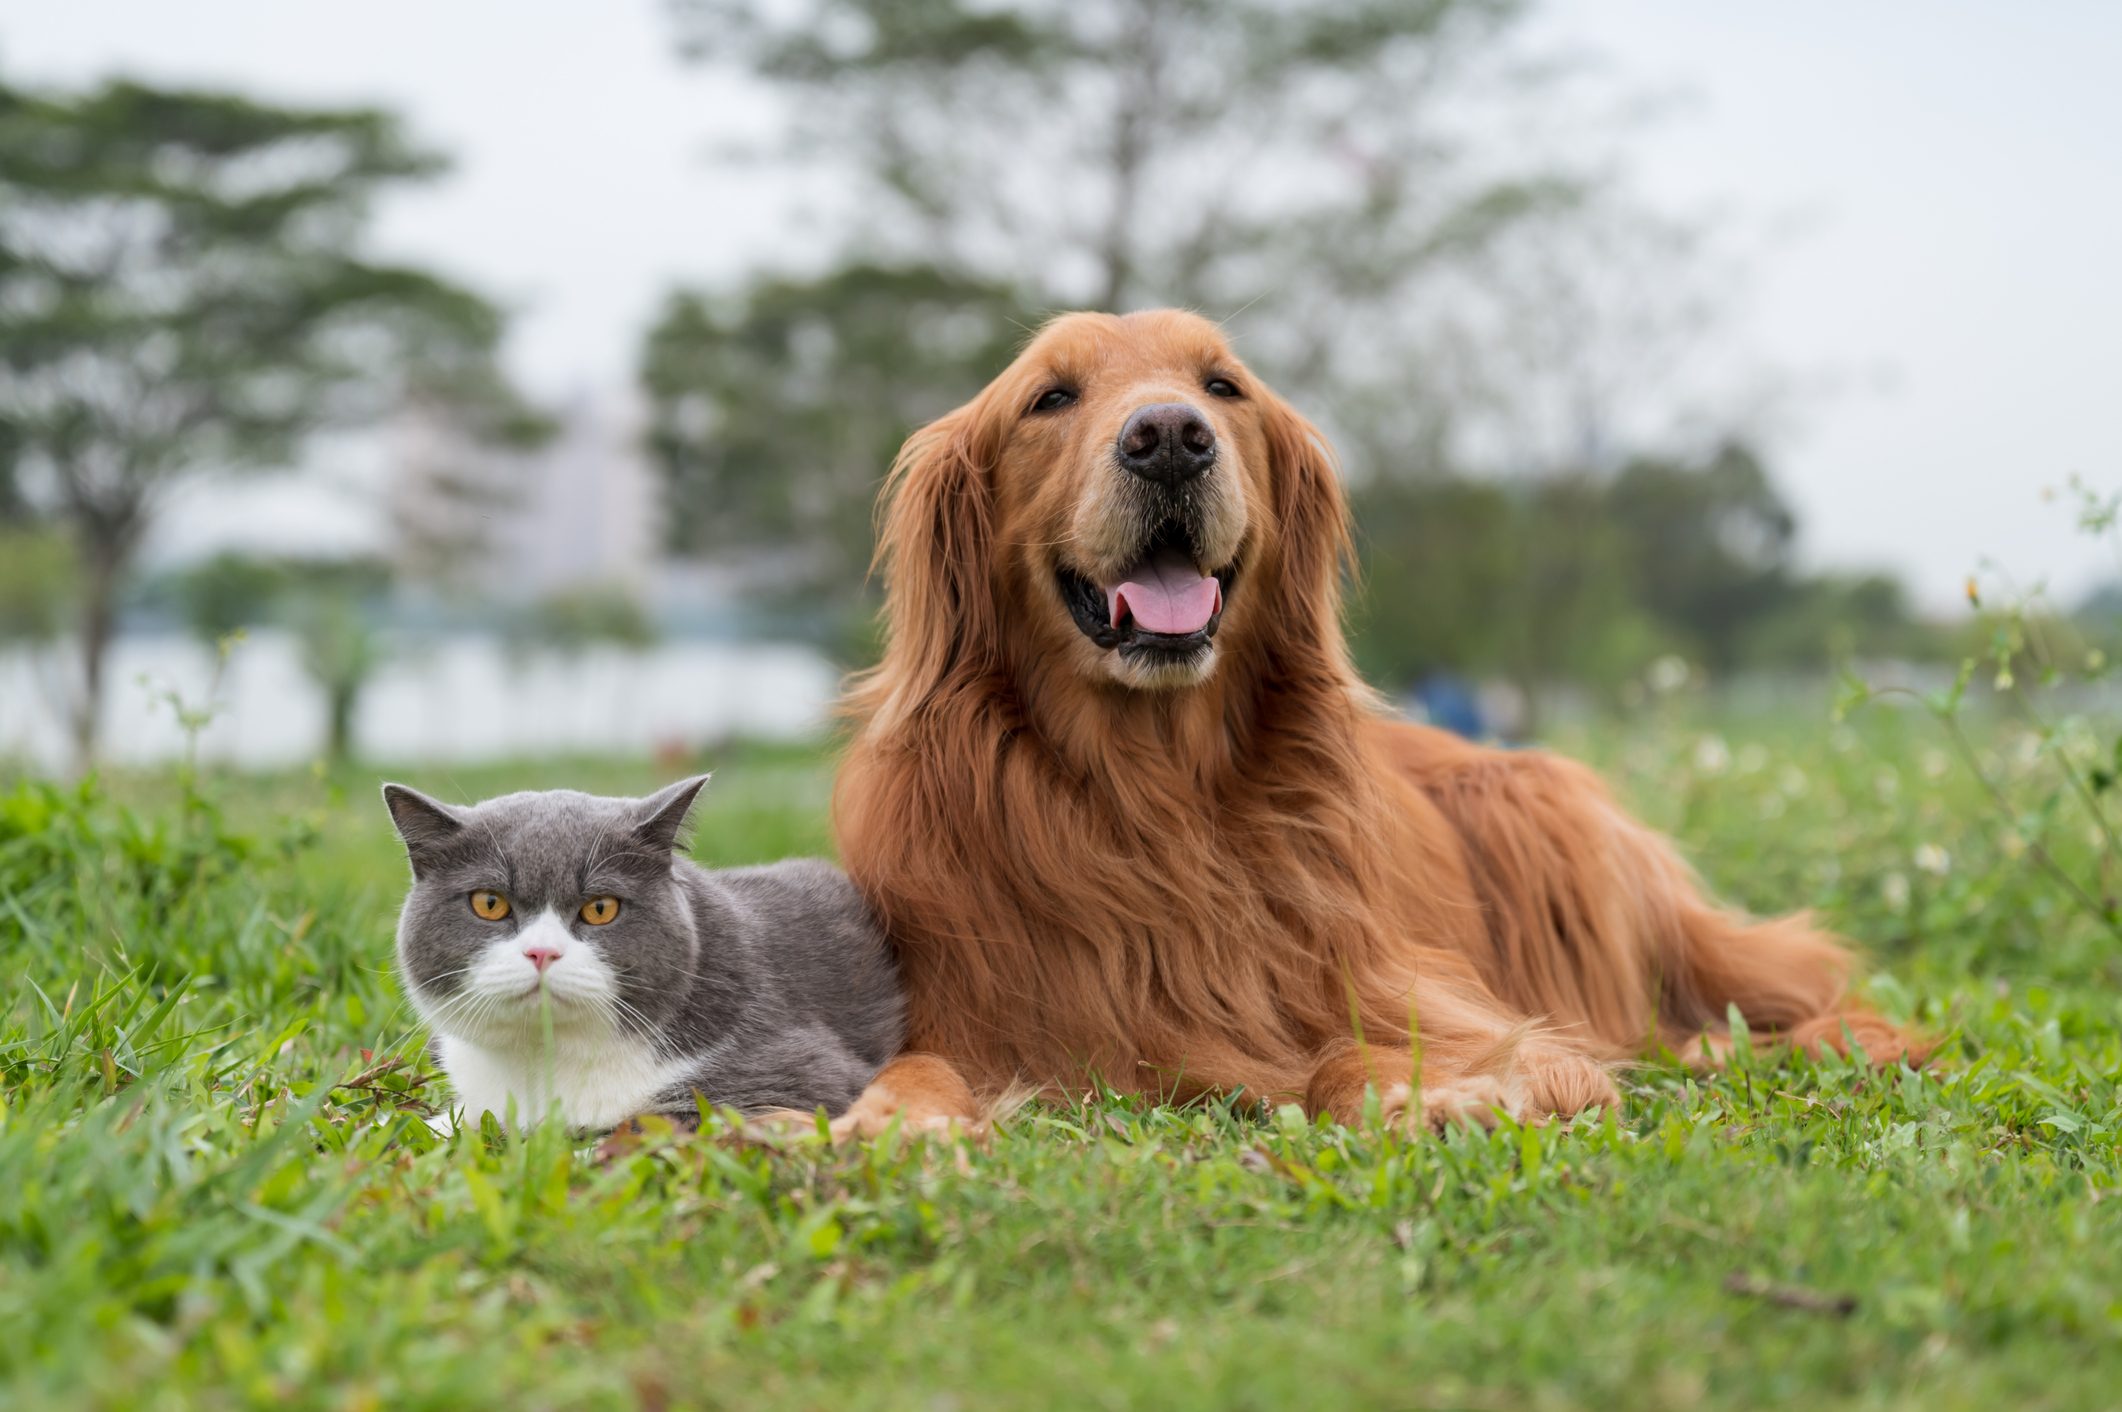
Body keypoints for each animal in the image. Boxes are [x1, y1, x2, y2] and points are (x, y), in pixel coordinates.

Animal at [381, 777, 903, 1129]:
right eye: (489, 903)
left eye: (600, 908)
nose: (542, 953)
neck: (544, 1061)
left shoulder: (798, 1075)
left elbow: (643, 1124)